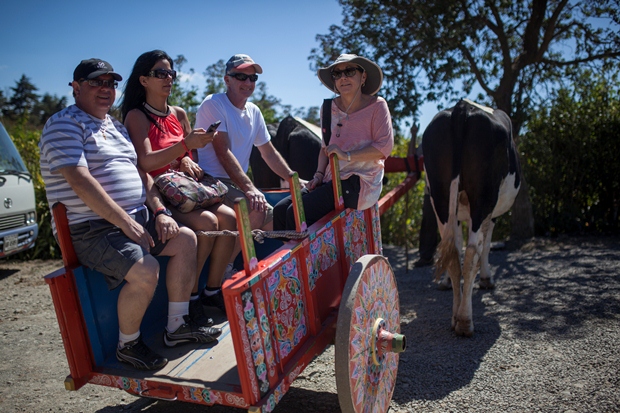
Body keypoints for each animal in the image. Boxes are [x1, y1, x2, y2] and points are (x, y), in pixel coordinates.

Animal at [424, 99, 520, 334]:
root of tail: (462, 108)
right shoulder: (491, 215)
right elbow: (486, 246)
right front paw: (486, 278)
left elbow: (455, 244)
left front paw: (446, 283)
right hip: (483, 197)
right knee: (471, 253)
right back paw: (465, 321)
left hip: (440, 197)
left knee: (453, 251)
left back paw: (455, 316)